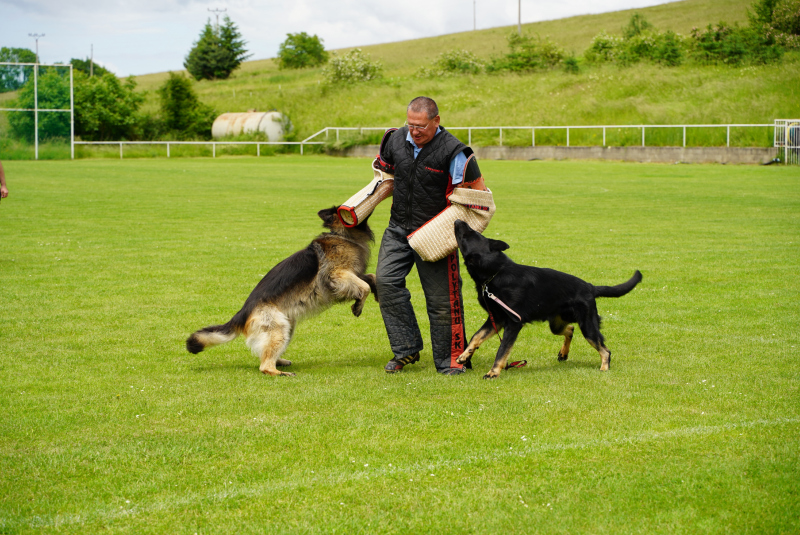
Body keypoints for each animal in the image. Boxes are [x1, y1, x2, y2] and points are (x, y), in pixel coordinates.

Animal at [184, 206, 378, 376]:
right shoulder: (336, 275)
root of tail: (242, 313)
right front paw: (358, 306)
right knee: (264, 366)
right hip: (278, 329)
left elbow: (371, 277)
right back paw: (280, 372)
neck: (343, 236)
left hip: (287, 327)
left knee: (265, 355)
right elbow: (364, 286)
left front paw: (375, 292)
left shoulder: (354, 274)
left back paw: (280, 361)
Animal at [454, 220, 640, 378]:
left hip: (587, 327)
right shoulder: (496, 319)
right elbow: (476, 336)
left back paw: (604, 367)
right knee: (570, 329)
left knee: (605, 350)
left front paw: (493, 372)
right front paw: (464, 356)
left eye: (470, 233)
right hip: (557, 324)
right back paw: (563, 354)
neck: (495, 273)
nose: (458, 220)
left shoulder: (513, 323)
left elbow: (502, 350)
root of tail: (590, 286)